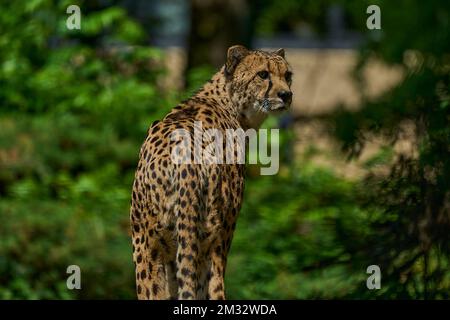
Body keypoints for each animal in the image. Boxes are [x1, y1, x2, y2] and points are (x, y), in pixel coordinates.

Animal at [129, 45, 292, 300]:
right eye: (263, 74)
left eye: (287, 75)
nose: (286, 94)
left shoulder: (168, 253)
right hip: (212, 241)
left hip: (147, 246)